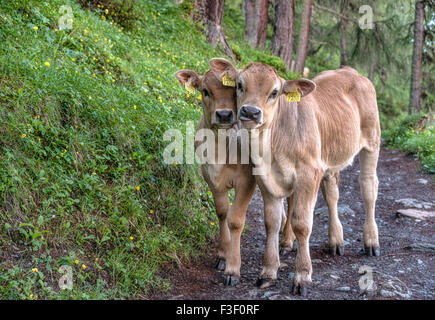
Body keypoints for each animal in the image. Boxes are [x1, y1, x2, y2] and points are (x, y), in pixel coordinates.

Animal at [211, 59, 382, 296]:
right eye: (240, 84)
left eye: (274, 92)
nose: (251, 112)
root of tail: (351, 71)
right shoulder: (265, 178)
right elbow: (271, 223)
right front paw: (268, 272)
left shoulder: (309, 174)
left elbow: (302, 224)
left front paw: (302, 275)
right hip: (328, 158)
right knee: (332, 194)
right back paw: (336, 241)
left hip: (372, 141)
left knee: (368, 188)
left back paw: (371, 242)